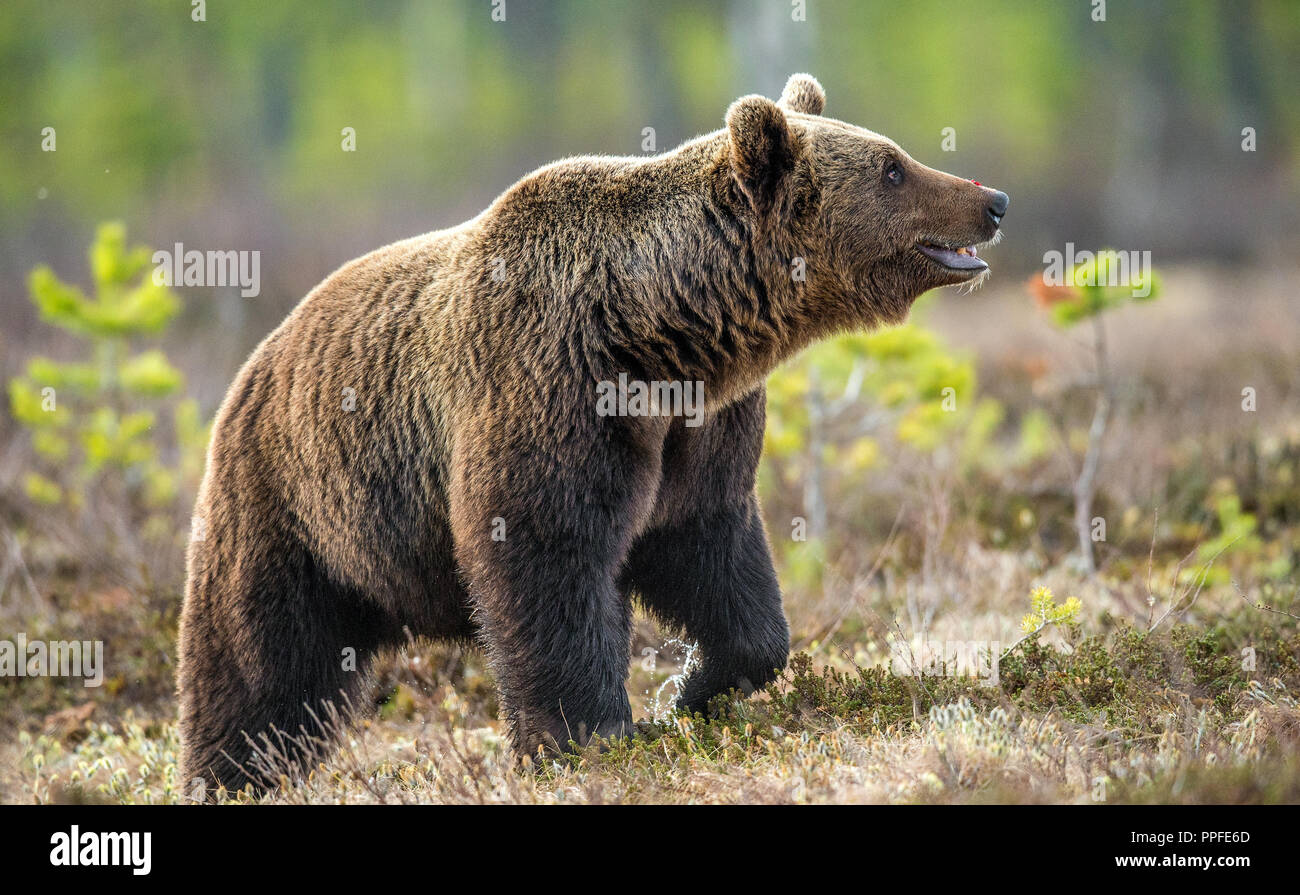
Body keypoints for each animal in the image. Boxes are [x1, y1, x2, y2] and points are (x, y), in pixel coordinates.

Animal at [177, 73, 1008, 795]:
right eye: (893, 167)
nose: (993, 199)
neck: (659, 329)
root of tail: (256, 361)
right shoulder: (552, 387)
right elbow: (549, 557)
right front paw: (589, 735)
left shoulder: (696, 427)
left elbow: (713, 548)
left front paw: (693, 689)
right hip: (296, 505)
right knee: (261, 658)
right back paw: (231, 773)